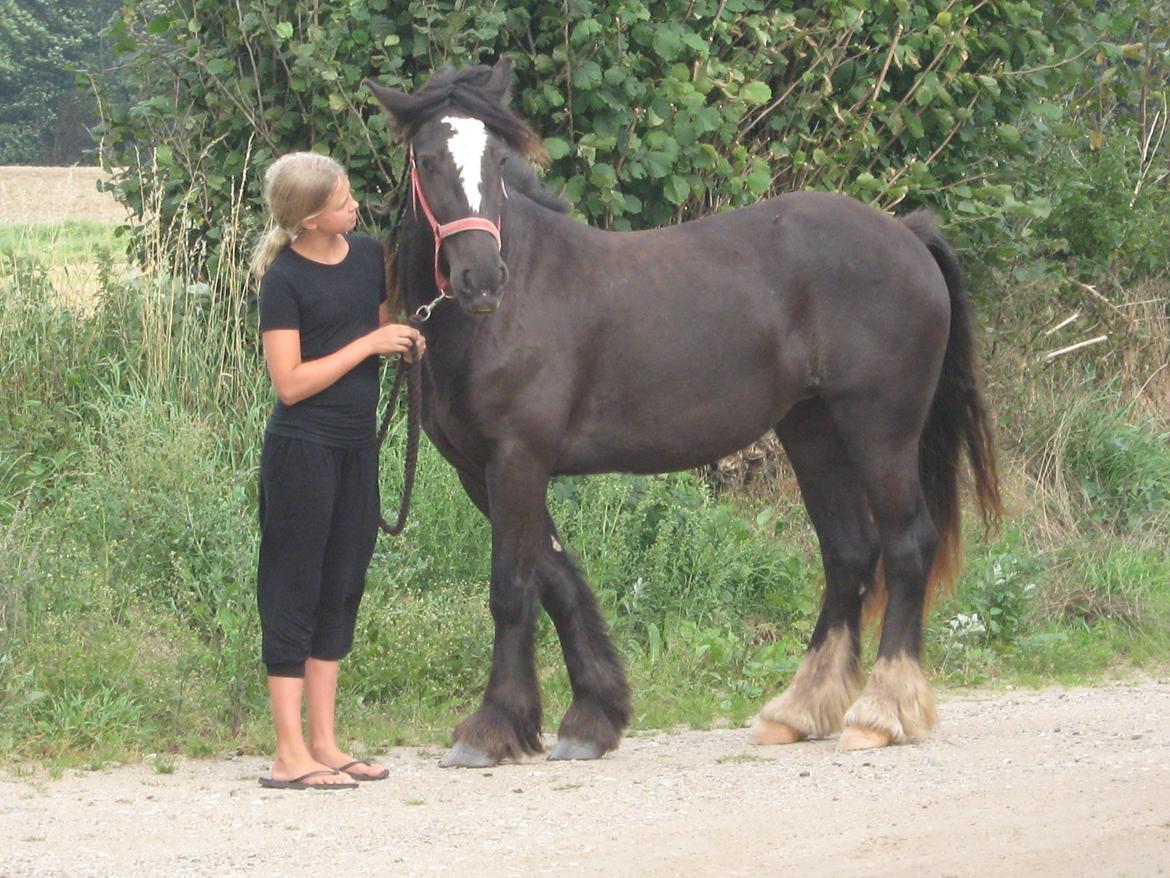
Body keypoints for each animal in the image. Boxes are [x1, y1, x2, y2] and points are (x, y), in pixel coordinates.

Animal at [369, 58, 1001, 767]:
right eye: (426, 160)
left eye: (499, 159)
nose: (481, 279)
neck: (514, 303)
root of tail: (907, 237)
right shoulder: (481, 471)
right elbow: (556, 579)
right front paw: (591, 717)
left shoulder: (518, 459)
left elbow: (512, 589)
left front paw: (490, 728)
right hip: (813, 432)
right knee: (850, 554)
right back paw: (798, 710)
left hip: (880, 429)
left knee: (907, 546)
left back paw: (881, 713)